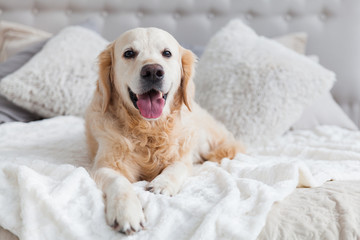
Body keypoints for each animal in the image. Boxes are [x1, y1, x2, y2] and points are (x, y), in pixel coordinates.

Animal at [85, 26, 245, 234]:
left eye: (167, 53)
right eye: (129, 53)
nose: (153, 71)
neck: (149, 130)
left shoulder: (183, 158)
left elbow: (177, 167)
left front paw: (162, 184)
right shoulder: (104, 166)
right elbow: (119, 182)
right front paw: (127, 212)